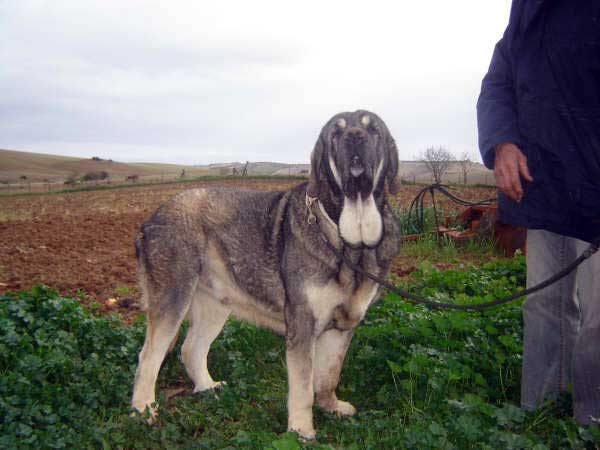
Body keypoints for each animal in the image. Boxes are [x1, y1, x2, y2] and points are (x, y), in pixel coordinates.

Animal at [134, 109, 400, 440]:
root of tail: (151, 218)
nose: (355, 137)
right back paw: (144, 411)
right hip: (173, 297)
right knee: (148, 357)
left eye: (372, 129)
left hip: (214, 304)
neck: (349, 241)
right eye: (336, 134)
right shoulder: (303, 325)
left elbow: (328, 377)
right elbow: (303, 387)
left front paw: (331, 408)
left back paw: (208, 388)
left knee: (190, 348)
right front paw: (301, 430)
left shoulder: (342, 326)